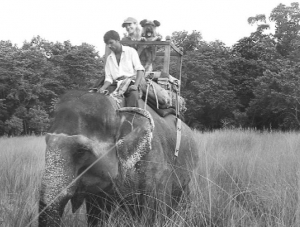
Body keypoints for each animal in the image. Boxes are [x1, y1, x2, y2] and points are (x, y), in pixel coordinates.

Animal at [38, 89, 199, 226]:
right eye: (46, 142)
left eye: (81, 151)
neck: (119, 110)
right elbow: (97, 216)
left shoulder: (156, 165)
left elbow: (154, 214)